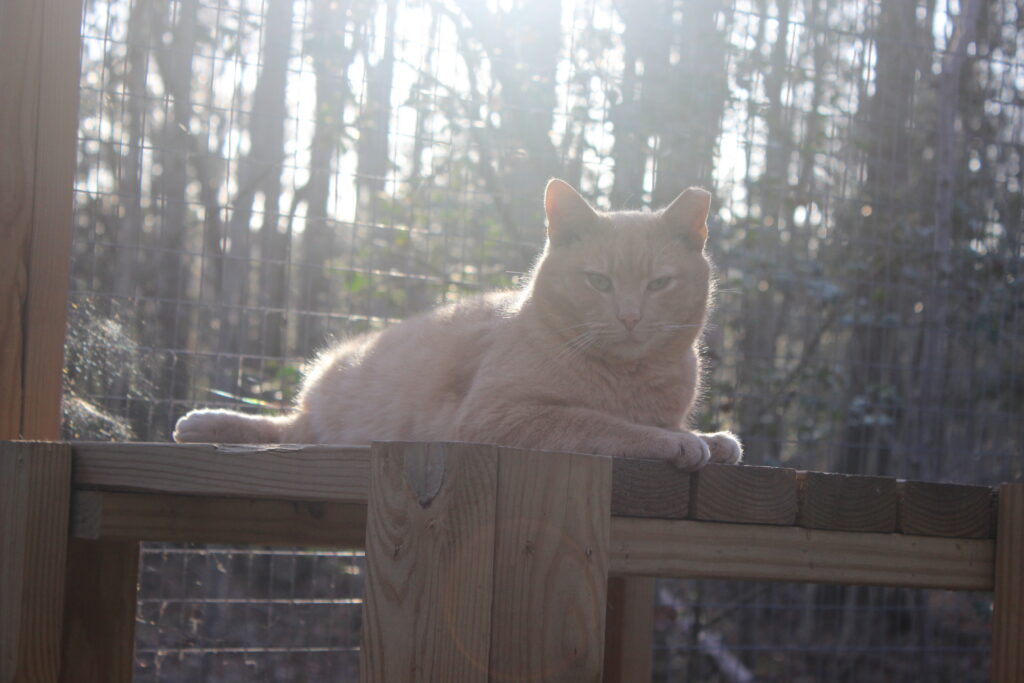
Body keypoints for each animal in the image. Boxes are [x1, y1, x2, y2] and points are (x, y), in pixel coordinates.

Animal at [174, 179, 742, 470]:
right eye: (599, 282)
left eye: (659, 283)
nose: (629, 315)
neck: (627, 380)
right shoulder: (501, 416)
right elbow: (601, 423)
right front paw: (677, 442)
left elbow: (669, 424)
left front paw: (711, 437)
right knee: (288, 429)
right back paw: (200, 421)